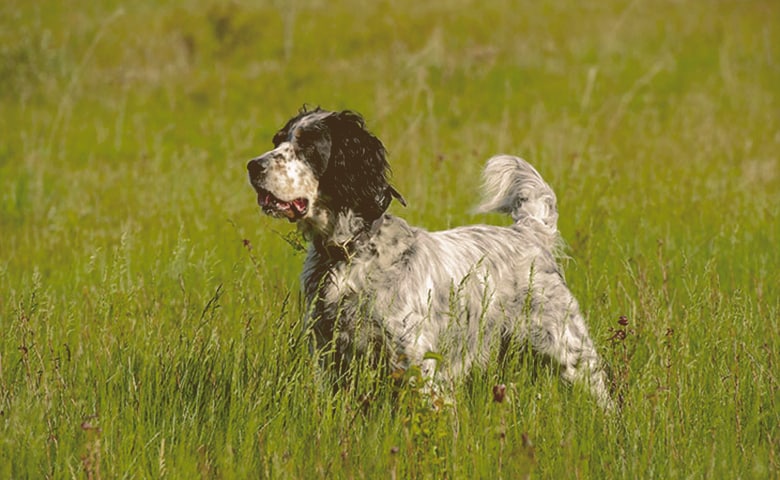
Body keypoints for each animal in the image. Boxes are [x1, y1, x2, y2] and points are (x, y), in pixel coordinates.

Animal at [247, 107, 612, 406]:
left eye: (308, 147)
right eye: (278, 140)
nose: (252, 166)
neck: (349, 253)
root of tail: (528, 232)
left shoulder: (416, 364)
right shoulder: (329, 356)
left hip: (570, 350)